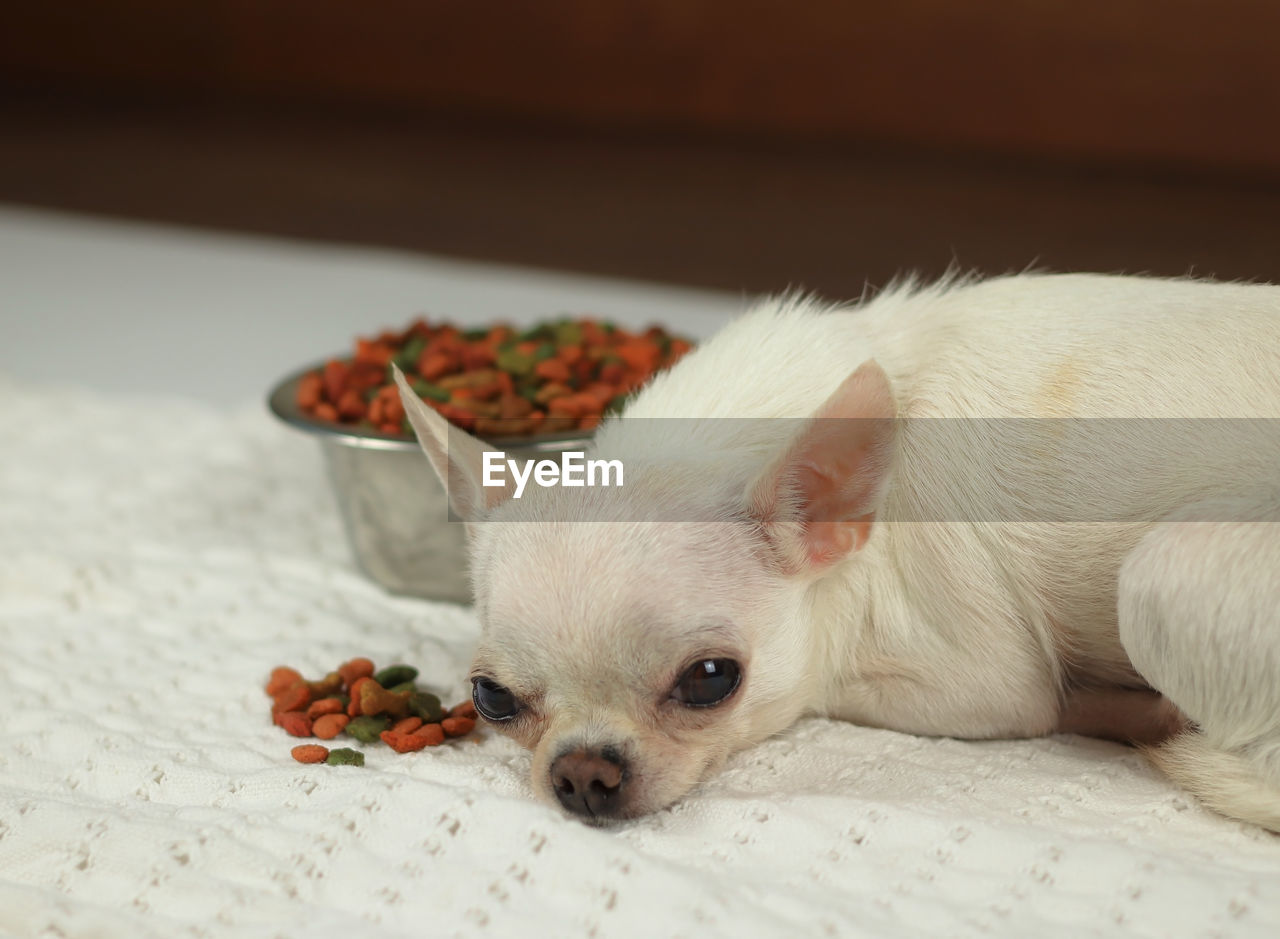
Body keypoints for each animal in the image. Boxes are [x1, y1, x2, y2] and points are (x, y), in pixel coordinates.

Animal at [394, 273, 1274, 828]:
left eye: (710, 679)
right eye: (490, 698)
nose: (582, 772)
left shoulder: (984, 685)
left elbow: (834, 684)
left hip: (1161, 578)